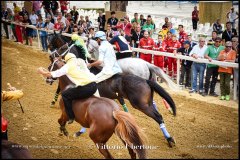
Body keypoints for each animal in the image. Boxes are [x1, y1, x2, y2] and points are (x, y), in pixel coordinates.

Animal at [47, 32, 177, 148]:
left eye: (62, 47)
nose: (51, 54)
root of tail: (146, 67)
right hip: (147, 99)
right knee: (156, 108)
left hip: (141, 105)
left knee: (158, 117)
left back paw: (169, 139)